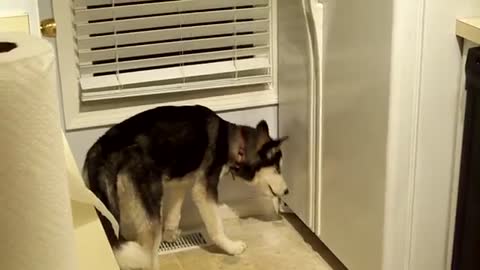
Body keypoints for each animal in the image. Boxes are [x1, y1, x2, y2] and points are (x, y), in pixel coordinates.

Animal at [83, 104, 288, 268]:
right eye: (277, 168)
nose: (287, 191)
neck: (234, 143)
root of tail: (104, 148)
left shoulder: (179, 184)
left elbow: (174, 214)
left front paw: (170, 234)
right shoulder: (204, 190)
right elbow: (216, 226)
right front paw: (231, 247)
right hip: (150, 214)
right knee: (148, 255)